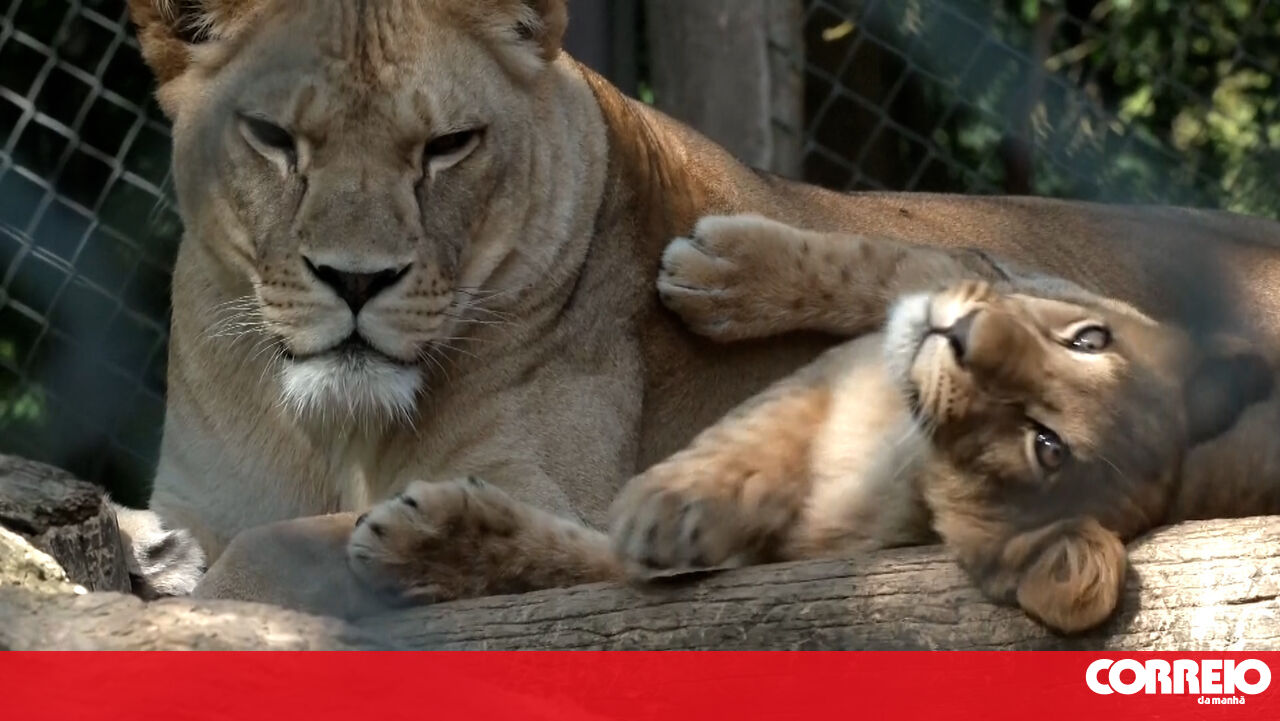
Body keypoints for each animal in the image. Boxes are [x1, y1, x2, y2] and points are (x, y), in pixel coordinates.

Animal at [123, 0, 1280, 615]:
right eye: (273, 137)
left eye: (449, 147)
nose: (357, 282)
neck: (327, 426)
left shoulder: (550, 487)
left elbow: (272, 549)